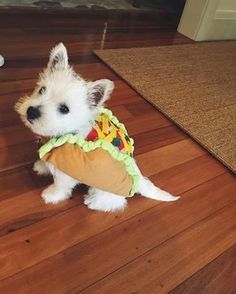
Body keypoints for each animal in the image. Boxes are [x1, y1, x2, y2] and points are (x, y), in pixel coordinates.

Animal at [15, 43, 179, 211]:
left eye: (64, 109)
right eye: (42, 90)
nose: (31, 111)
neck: (67, 132)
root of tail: (138, 180)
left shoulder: (67, 172)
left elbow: (61, 186)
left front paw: (51, 195)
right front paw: (41, 166)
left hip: (106, 189)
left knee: (114, 202)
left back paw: (92, 202)